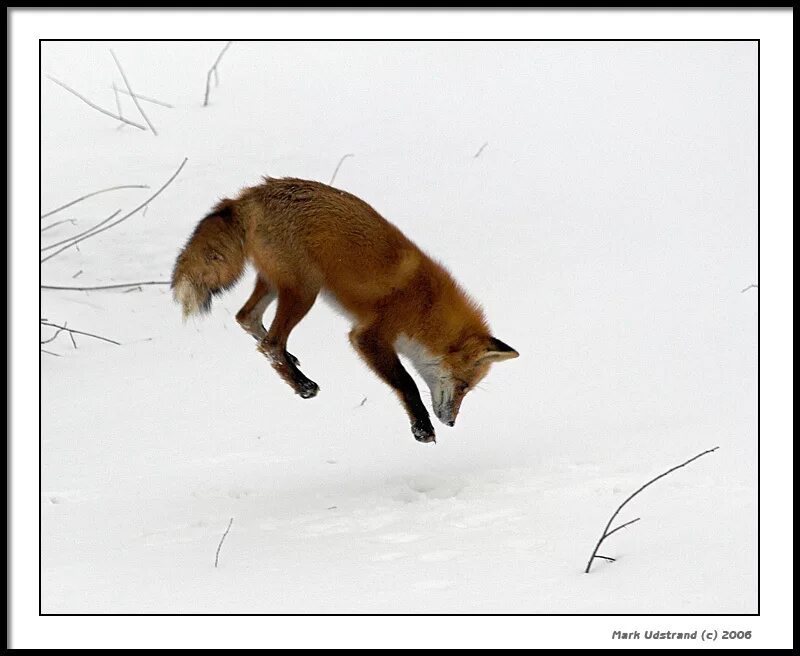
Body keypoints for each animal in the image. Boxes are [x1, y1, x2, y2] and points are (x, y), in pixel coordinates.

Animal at [172, 177, 520, 444]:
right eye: (464, 386)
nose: (451, 422)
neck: (426, 307)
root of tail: (251, 194)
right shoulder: (368, 336)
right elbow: (406, 382)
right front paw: (422, 429)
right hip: (304, 291)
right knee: (270, 343)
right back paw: (303, 385)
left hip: (276, 284)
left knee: (248, 320)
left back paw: (291, 362)